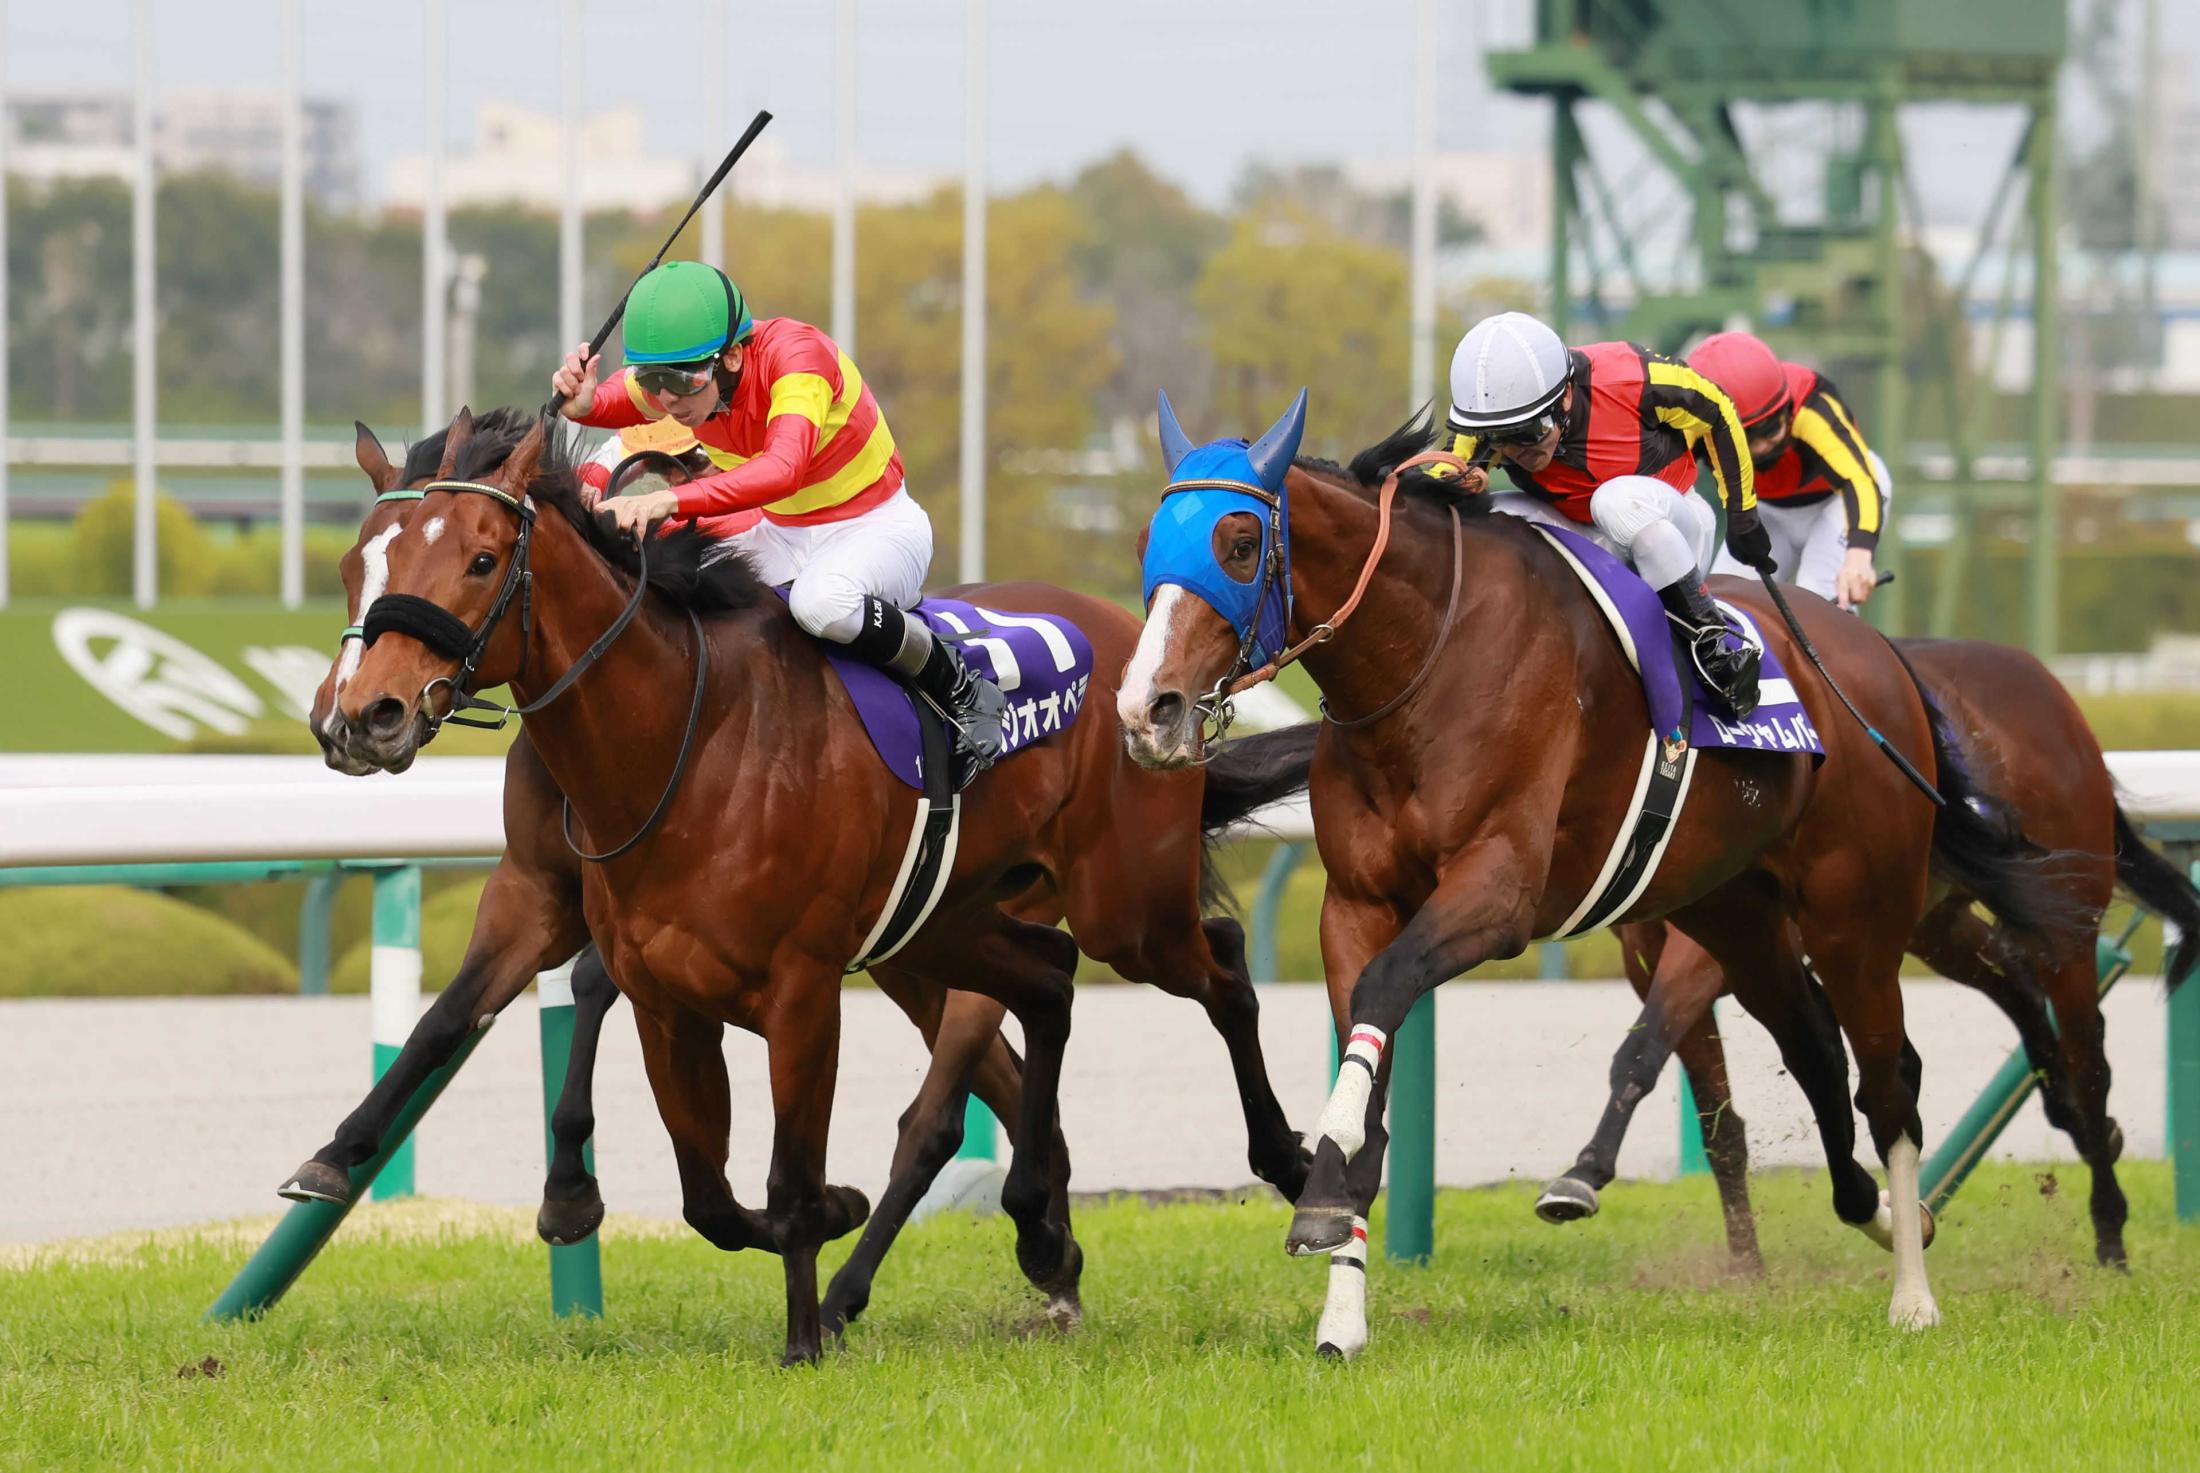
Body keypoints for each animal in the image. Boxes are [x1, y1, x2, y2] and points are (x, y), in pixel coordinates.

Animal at [312, 413, 1302, 1363]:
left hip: (1125, 905)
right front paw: (344, 1156)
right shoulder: (626, 961)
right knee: (1049, 985)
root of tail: (1149, 668)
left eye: (481, 561)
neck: (686, 735)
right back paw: (1039, 1236)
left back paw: (1288, 1165)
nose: (361, 715)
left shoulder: (799, 987)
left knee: (1219, 965)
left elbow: (783, 1169)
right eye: (354, 564)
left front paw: (800, 1335)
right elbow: (696, 1187)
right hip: (945, 928)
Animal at [1117, 406, 2076, 1363]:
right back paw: (1878, 1210)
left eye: (1240, 543)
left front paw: (1318, 1193)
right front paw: (1340, 1304)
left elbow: (1387, 991)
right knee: (1812, 1044)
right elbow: (1371, 1051)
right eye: (1147, 543)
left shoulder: (1498, 893)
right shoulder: (1355, 902)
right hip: (1732, 910)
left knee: (1888, 1077)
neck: (1427, 659)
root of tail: (1871, 653)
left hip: (1856, 912)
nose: (1144, 710)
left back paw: (1913, 1294)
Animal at [1548, 641, 2200, 1275]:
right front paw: (1746, 1266)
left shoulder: (1710, 949)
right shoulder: (1652, 955)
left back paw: (2110, 1233)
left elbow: (1643, 1052)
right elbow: (1715, 1117)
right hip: (1938, 923)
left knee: (2089, 1058)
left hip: (2064, 914)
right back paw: (2074, 1115)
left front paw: (1582, 1174)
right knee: (2014, 982)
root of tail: (2044, 682)